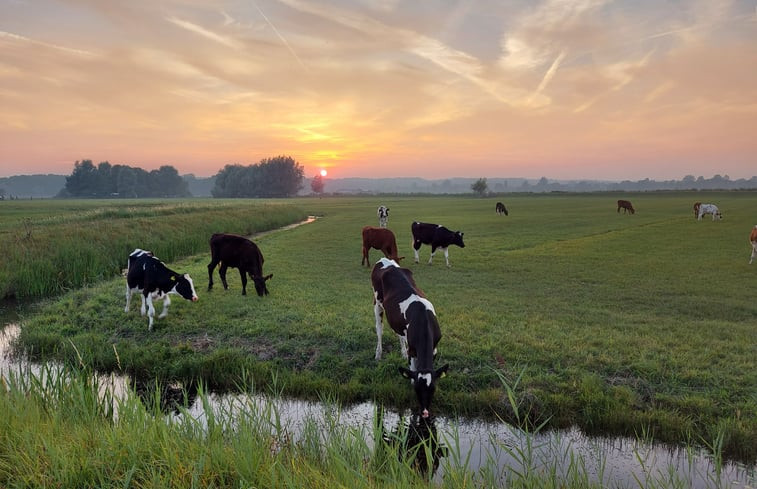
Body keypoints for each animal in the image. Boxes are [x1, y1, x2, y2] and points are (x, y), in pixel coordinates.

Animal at [370, 258, 446, 418]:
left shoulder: (434, 348)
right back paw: (378, 354)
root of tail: (384, 260)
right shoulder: (413, 349)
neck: (423, 320)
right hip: (377, 303)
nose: (425, 412)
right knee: (379, 330)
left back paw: (402, 352)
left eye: (433, 389)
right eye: (417, 390)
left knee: (399, 334)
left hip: (397, 319)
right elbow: (412, 369)